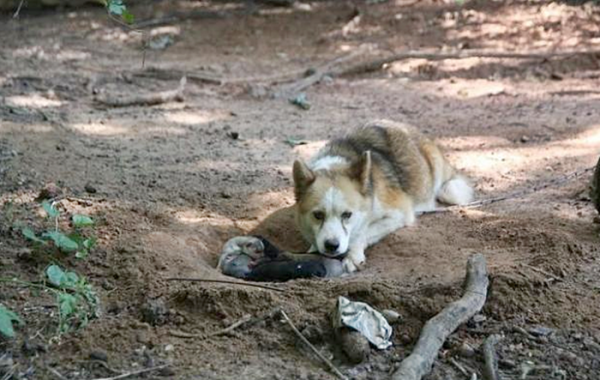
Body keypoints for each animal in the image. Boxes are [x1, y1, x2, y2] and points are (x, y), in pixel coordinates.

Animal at [292, 120, 474, 272]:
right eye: (318, 215)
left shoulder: (399, 214)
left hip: (445, 188)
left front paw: (353, 255)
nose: (332, 246)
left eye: (347, 215)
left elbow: (362, 232)